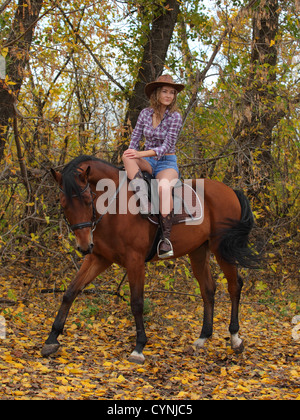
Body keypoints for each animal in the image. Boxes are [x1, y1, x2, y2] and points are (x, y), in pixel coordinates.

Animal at [41, 156, 258, 362]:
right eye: (63, 204)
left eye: (87, 199)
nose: (84, 246)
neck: (115, 206)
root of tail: (230, 191)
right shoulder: (99, 258)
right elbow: (71, 291)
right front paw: (52, 339)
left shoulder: (134, 260)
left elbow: (137, 303)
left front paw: (139, 347)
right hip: (198, 250)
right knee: (208, 289)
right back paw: (202, 338)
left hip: (222, 248)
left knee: (234, 285)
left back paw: (235, 338)